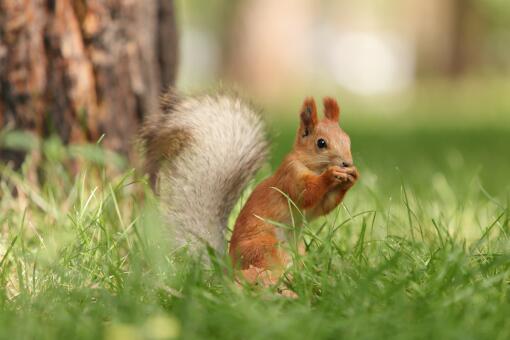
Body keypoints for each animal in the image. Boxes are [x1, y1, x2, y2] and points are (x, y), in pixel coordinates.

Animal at [140, 91, 358, 290]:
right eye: (321, 143)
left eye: (348, 140)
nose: (347, 163)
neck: (310, 165)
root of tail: (228, 268)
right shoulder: (289, 176)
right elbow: (306, 194)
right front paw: (330, 175)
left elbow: (321, 207)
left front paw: (350, 179)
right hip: (264, 248)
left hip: (297, 249)